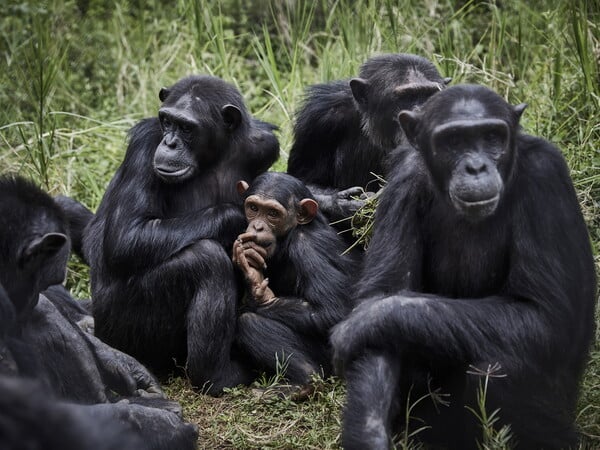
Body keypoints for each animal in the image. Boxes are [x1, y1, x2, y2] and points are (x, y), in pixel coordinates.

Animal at [78, 74, 280, 394]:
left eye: (186, 127)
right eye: (166, 121)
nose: (170, 142)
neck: (215, 155)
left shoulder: (265, 145)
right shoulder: (145, 143)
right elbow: (127, 236)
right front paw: (240, 217)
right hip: (123, 331)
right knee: (205, 259)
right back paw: (217, 376)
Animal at [330, 85, 596, 450]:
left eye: (491, 136)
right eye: (454, 141)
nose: (475, 166)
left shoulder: (546, 176)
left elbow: (544, 315)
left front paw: (361, 321)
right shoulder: (402, 179)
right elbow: (384, 299)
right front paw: (370, 436)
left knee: (497, 370)